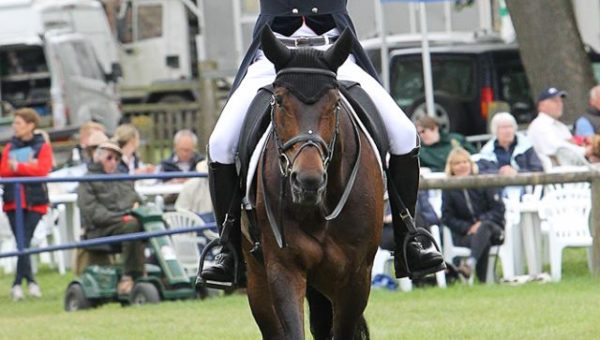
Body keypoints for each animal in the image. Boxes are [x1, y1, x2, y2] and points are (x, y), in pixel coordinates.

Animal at [241, 27, 382, 340]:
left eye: (335, 104)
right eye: (280, 101)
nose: (308, 181)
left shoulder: (356, 277)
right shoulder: (284, 268)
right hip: (258, 278)